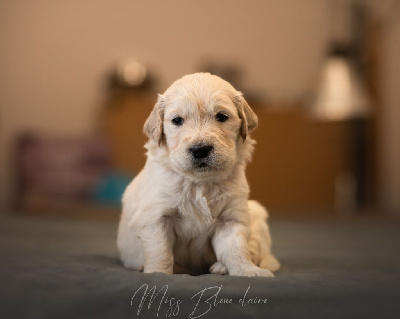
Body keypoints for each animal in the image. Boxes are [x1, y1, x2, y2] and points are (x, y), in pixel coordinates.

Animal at [117, 73, 280, 278]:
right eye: (177, 120)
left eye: (221, 116)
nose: (200, 149)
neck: (199, 182)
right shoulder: (156, 217)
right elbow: (160, 252)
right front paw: (157, 274)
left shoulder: (231, 218)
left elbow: (237, 250)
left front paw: (248, 271)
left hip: (256, 216)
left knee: (255, 251)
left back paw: (221, 267)